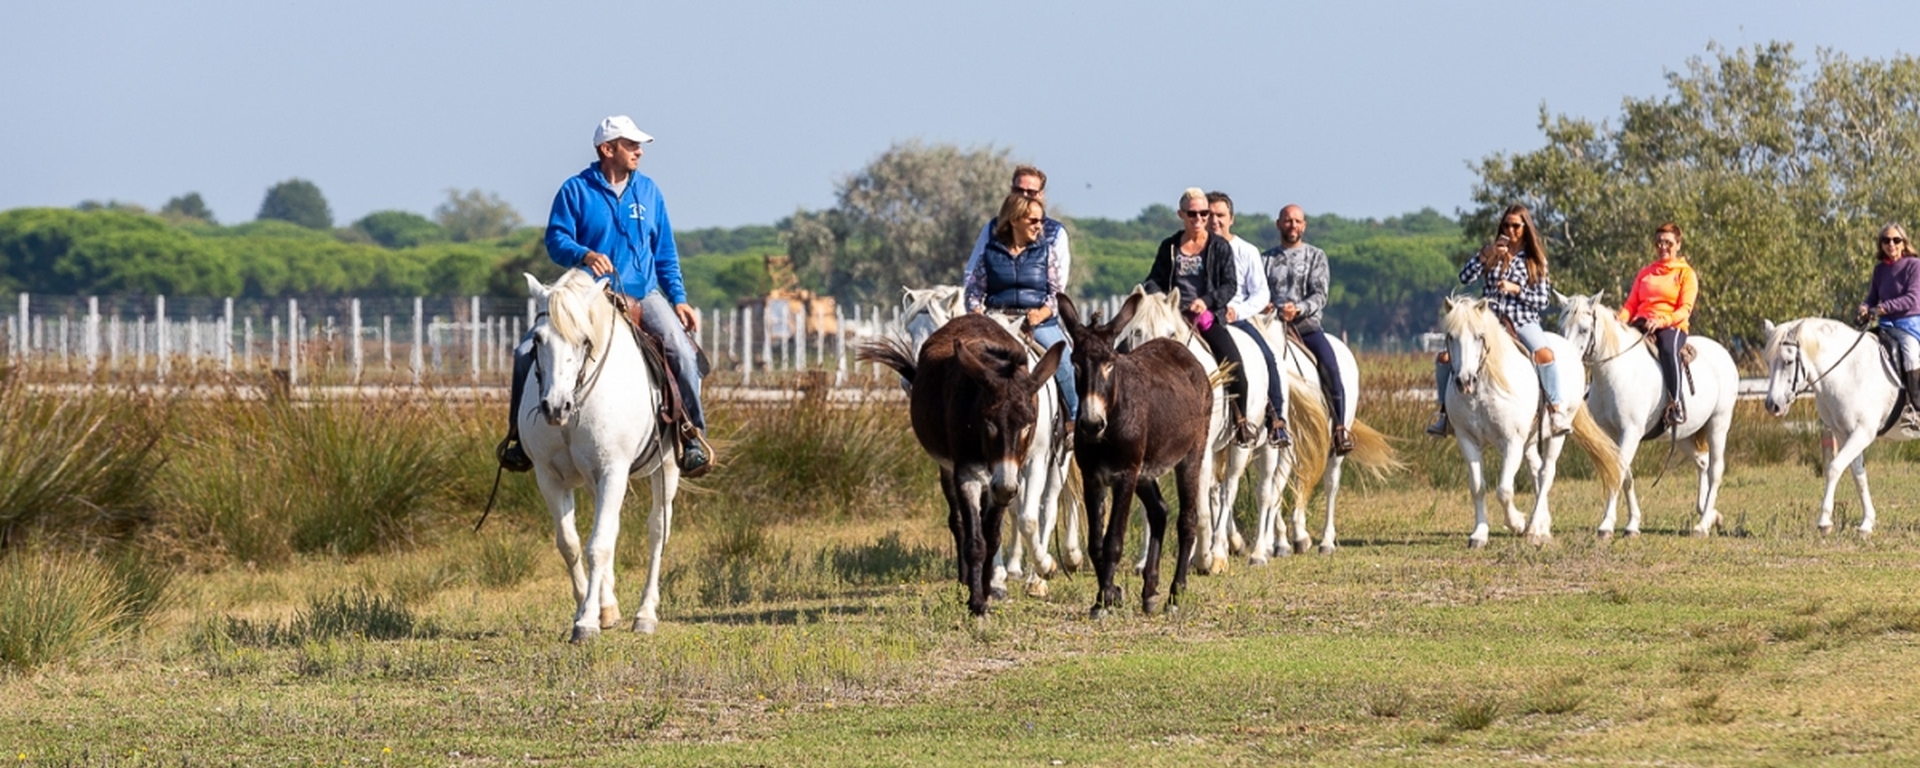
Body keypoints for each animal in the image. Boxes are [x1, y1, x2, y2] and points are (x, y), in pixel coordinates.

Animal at [522, 270, 679, 641]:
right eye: (538, 340)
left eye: (584, 340)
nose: (556, 407)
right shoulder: (549, 477)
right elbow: (570, 544)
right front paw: (590, 609)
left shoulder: (613, 471)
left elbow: (599, 545)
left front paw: (587, 623)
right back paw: (610, 606)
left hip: (666, 469)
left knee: (657, 529)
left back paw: (645, 614)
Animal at [902, 284, 1082, 595]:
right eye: (910, 331)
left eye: (937, 326)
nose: (913, 379)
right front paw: (997, 577)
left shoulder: (1036, 458)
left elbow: (1029, 517)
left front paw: (1042, 569)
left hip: (1061, 454)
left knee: (1050, 504)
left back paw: (1054, 565)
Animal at [1443, 297, 1620, 545]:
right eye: (1451, 336)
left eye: (1479, 336)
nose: (1464, 381)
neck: (1482, 390)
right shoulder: (1467, 439)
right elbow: (1478, 487)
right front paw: (1479, 533)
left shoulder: (1512, 442)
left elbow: (1504, 489)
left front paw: (1517, 523)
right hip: (1529, 440)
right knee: (1536, 471)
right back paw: (1542, 525)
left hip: (1555, 435)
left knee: (1546, 473)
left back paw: (1535, 528)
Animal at [1559, 291, 1743, 537]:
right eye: (1561, 327)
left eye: (1584, 329)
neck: (1618, 372)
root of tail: (1723, 353)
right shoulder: (1611, 434)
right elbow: (1625, 474)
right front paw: (1632, 524)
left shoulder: (1631, 432)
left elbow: (1619, 473)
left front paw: (1606, 525)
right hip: (1684, 433)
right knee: (1702, 462)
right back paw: (1710, 513)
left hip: (1718, 424)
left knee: (1715, 470)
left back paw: (1703, 524)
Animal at [1758, 316, 1912, 533]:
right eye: (1768, 361)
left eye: (1788, 361)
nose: (1773, 405)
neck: (1849, 372)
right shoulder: (1845, 433)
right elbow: (1858, 475)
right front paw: (1867, 523)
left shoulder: (1863, 433)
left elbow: (1834, 468)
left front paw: (1824, 521)